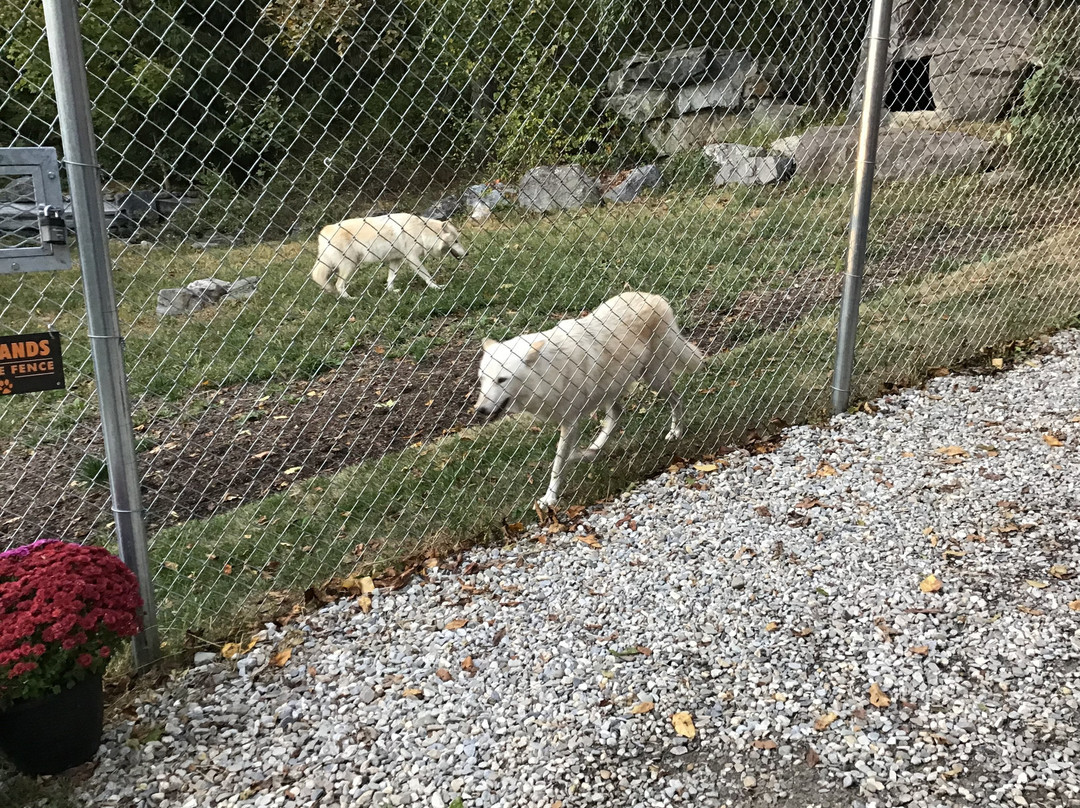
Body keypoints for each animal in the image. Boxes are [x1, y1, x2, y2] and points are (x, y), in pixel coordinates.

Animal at [310, 213, 467, 297]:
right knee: (338, 284)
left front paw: (392, 292)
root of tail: (323, 232)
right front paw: (436, 288)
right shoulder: (412, 259)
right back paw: (350, 299)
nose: (467, 253)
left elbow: (391, 278)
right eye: (456, 241)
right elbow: (427, 276)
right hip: (350, 265)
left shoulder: (396, 259)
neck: (422, 233)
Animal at [474, 291, 706, 508]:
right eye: (482, 379)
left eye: (502, 379)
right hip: (613, 391)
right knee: (617, 416)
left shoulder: (569, 422)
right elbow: (564, 457)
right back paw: (592, 451)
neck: (549, 370)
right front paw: (579, 457)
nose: (480, 410)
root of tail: (653, 296)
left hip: (654, 378)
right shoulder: (570, 421)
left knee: (677, 398)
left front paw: (550, 498)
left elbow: (558, 463)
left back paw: (675, 431)